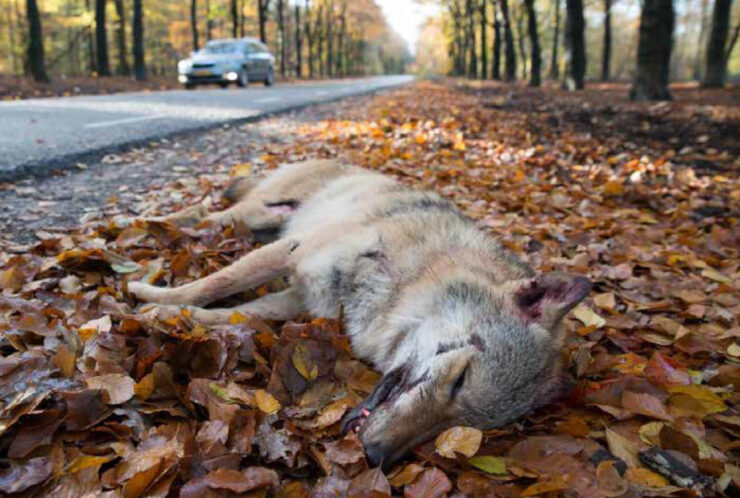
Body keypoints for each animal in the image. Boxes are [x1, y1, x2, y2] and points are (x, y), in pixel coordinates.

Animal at [128, 158, 591, 467]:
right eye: (460, 379)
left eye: (460, 426)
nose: (375, 456)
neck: (406, 278)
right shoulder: (295, 253)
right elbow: (214, 284)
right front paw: (150, 299)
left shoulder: (299, 299)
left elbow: (231, 315)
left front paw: (174, 316)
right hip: (257, 213)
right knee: (202, 215)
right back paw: (152, 224)